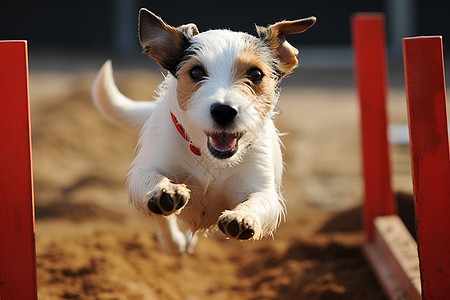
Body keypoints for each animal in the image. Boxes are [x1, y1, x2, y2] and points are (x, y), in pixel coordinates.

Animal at [92, 8, 316, 254]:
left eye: (256, 74)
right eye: (197, 72)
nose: (224, 111)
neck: (209, 158)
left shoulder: (262, 188)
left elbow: (259, 202)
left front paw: (243, 217)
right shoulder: (147, 168)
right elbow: (150, 178)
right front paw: (164, 191)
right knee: (164, 223)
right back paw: (174, 241)